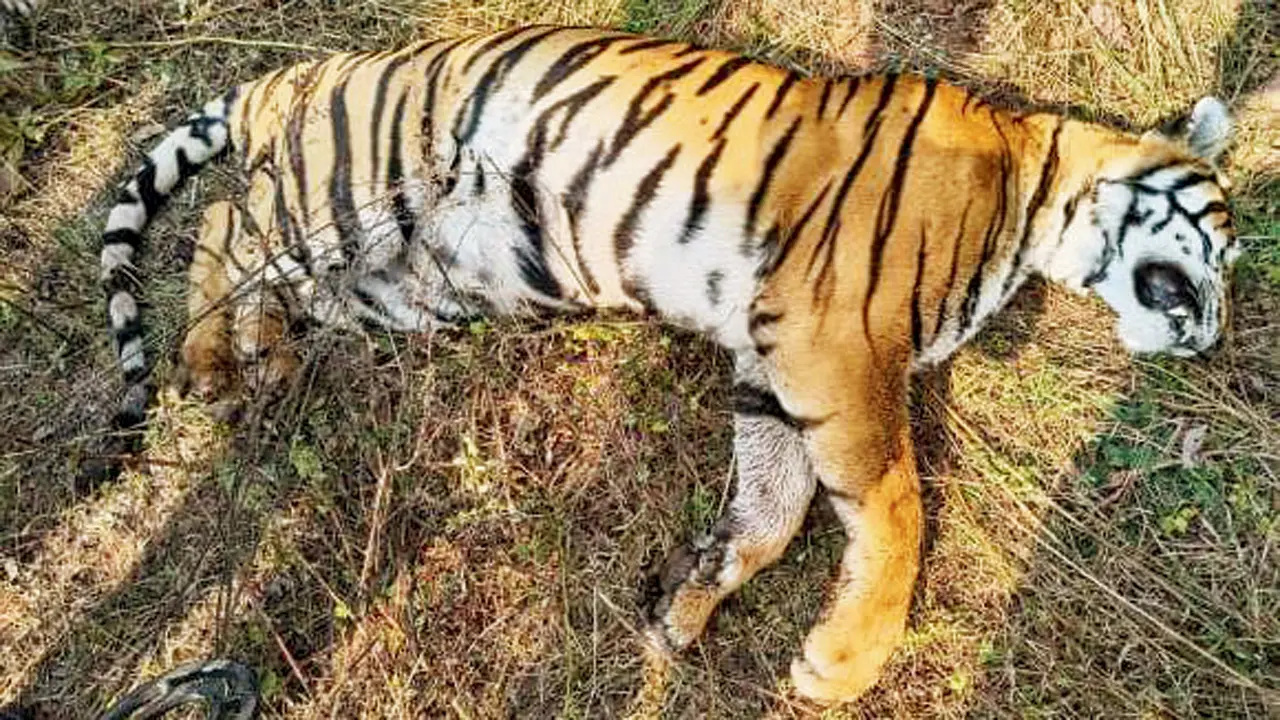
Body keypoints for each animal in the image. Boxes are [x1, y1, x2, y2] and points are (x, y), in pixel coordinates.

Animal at [97, 25, 1238, 702]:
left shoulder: (771, 359)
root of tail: (302, 71)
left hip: (410, 281)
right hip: (348, 195)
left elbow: (771, 509)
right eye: (1222, 246)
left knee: (263, 266)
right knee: (225, 224)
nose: (1211, 333)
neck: (1037, 198)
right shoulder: (838, 341)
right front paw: (844, 662)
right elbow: (895, 510)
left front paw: (682, 607)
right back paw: (212, 361)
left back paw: (260, 354)